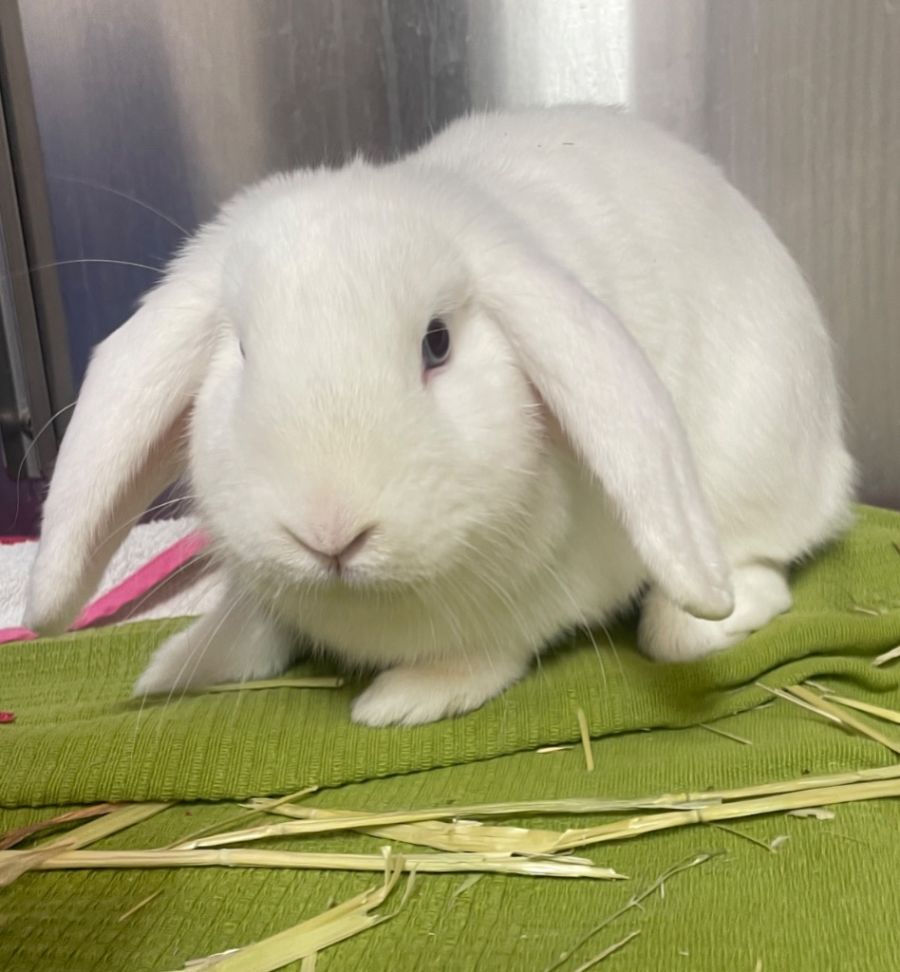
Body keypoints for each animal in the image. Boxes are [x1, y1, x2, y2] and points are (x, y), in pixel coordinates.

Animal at [24, 105, 855, 726]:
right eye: (242, 350)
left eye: (437, 343)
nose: (329, 532)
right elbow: (253, 625)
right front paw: (180, 666)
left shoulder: (531, 600)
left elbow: (487, 651)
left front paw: (403, 699)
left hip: (749, 467)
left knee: (759, 569)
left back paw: (689, 623)